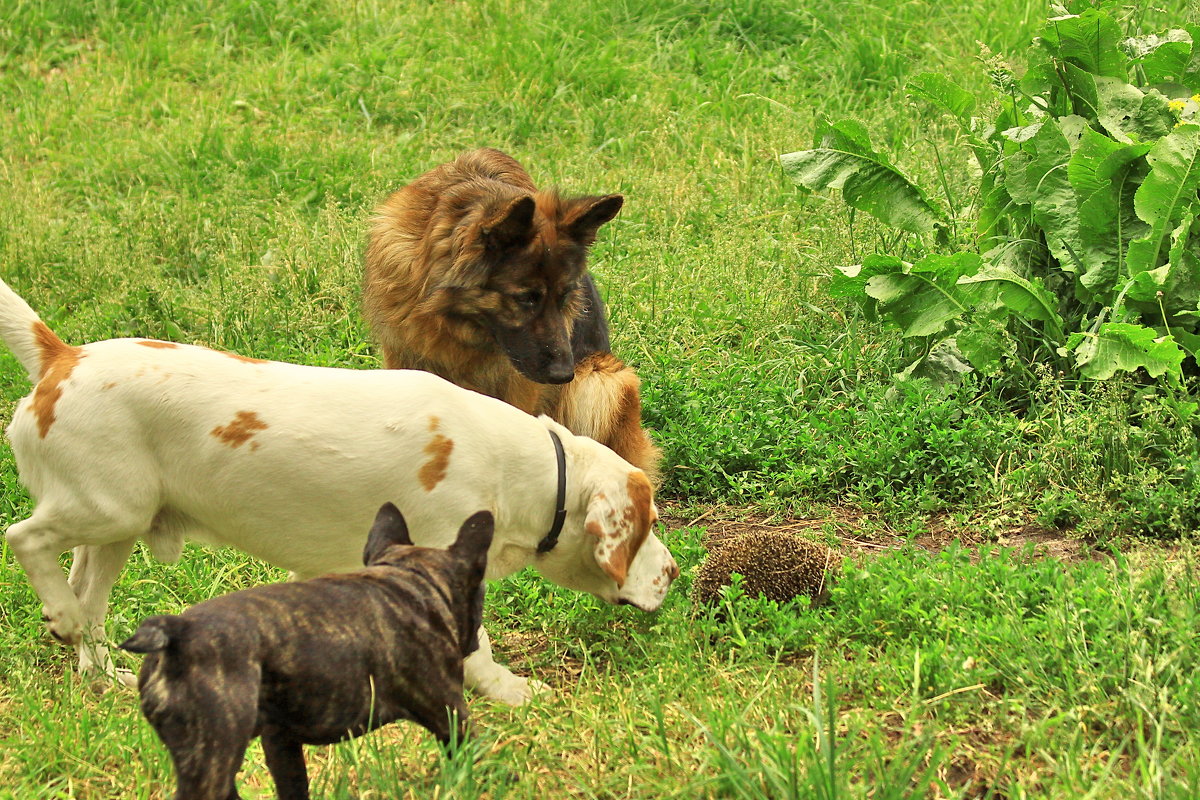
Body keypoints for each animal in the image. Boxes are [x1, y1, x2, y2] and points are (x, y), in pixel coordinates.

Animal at [0, 278, 676, 705]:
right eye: (646, 524)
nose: (673, 571)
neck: (521, 465)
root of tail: (62, 358)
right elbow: (476, 649)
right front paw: (510, 692)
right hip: (108, 510)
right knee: (26, 540)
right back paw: (59, 615)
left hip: (117, 530)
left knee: (89, 606)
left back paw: (103, 676)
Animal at [118, 506, 492, 800]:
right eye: (480, 593)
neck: (411, 580)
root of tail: (175, 632)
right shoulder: (451, 714)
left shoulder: (280, 740)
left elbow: (294, 786)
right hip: (213, 755)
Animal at [364, 149, 667, 482]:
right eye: (525, 298)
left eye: (564, 296)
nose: (564, 374)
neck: (454, 321)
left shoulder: (518, 385)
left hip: (602, 382)